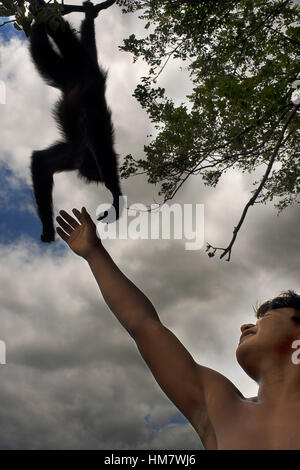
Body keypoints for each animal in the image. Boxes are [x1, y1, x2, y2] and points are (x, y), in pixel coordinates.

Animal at [28, 0, 122, 242]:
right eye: (93, 173)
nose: (87, 172)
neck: (83, 151)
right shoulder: (92, 140)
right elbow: (100, 144)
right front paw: (116, 196)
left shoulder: (71, 154)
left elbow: (41, 162)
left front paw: (47, 228)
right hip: (80, 64)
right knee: (63, 36)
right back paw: (46, 11)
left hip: (62, 72)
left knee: (41, 48)